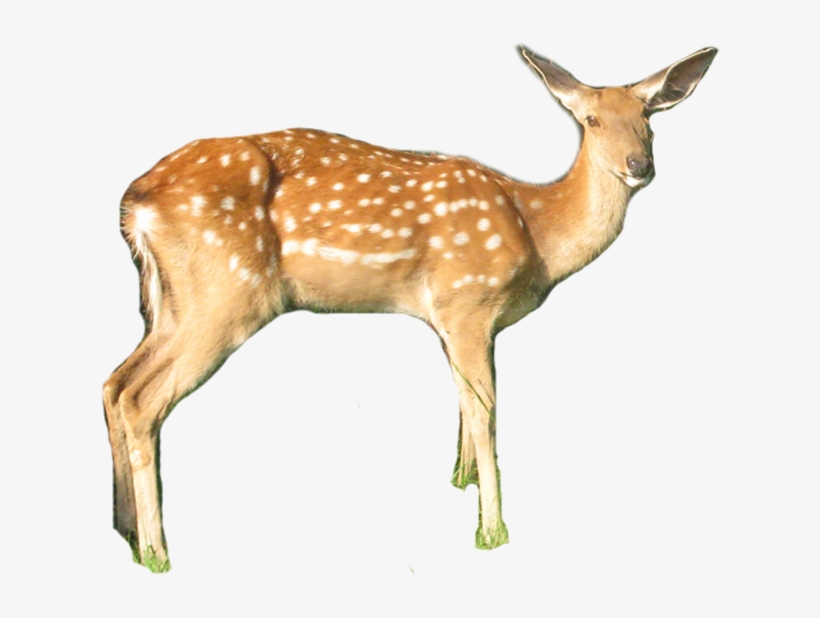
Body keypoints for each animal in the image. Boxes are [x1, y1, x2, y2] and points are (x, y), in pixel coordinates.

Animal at [103, 45, 717, 572]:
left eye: (648, 118)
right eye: (590, 120)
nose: (639, 164)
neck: (536, 229)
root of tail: (134, 201)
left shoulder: (454, 320)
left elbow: (465, 405)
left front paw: (461, 483)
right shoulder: (468, 299)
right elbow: (488, 411)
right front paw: (491, 531)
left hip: (172, 302)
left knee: (114, 383)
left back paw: (126, 532)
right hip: (227, 293)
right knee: (140, 399)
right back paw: (157, 553)